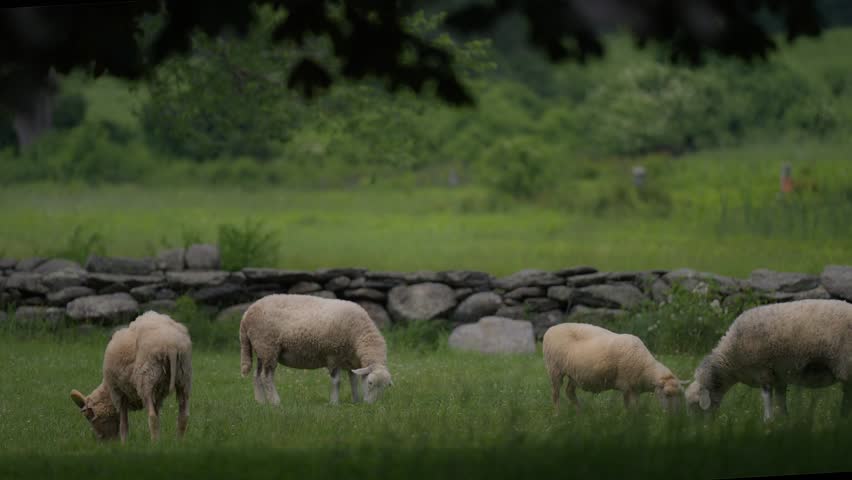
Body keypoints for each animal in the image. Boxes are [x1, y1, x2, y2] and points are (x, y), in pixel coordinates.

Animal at [70, 311, 192, 442]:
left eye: (88, 417)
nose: (102, 441)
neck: (107, 392)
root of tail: (171, 347)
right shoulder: (157, 396)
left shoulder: (119, 392)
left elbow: (123, 423)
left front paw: (124, 443)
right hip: (184, 378)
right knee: (183, 416)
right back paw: (178, 442)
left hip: (147, 379)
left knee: (152, 417)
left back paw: (154, 443)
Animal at [239, 294, 393, 405]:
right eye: (370, 382)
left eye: (385, 387)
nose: (371, 405)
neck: (361, 336)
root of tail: (246, 314)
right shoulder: (333, 356)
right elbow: (337, 381)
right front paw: (334, 403)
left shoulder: (350, 361)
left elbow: (353, 381)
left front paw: (356, 401)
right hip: (268, 347)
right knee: (266, 377)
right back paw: (275, 402)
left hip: (261, 350)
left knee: (256, 376)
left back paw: (261, 402)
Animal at [543, 322, 685, 413]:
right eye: (667, 394)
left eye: (680, 394)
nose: (676, 416)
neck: (645, 367)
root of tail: (551, 328)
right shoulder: (629, 386)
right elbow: (634, 406)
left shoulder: (630, 388)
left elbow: (628, 405)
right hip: (555, 369)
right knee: (555, 394)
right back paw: (558, 414)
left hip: (575, 374)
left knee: (569, 392)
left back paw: (580, 412)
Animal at [685, 299, 852, 421]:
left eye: (695, 406)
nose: (695, 429)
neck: (730, 357)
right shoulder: (779, 376)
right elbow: (781, 399)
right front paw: (784, 420)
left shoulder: (762, 370)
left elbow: (766, 397)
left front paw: (767, 420)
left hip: (845, 363)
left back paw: (843, 419)